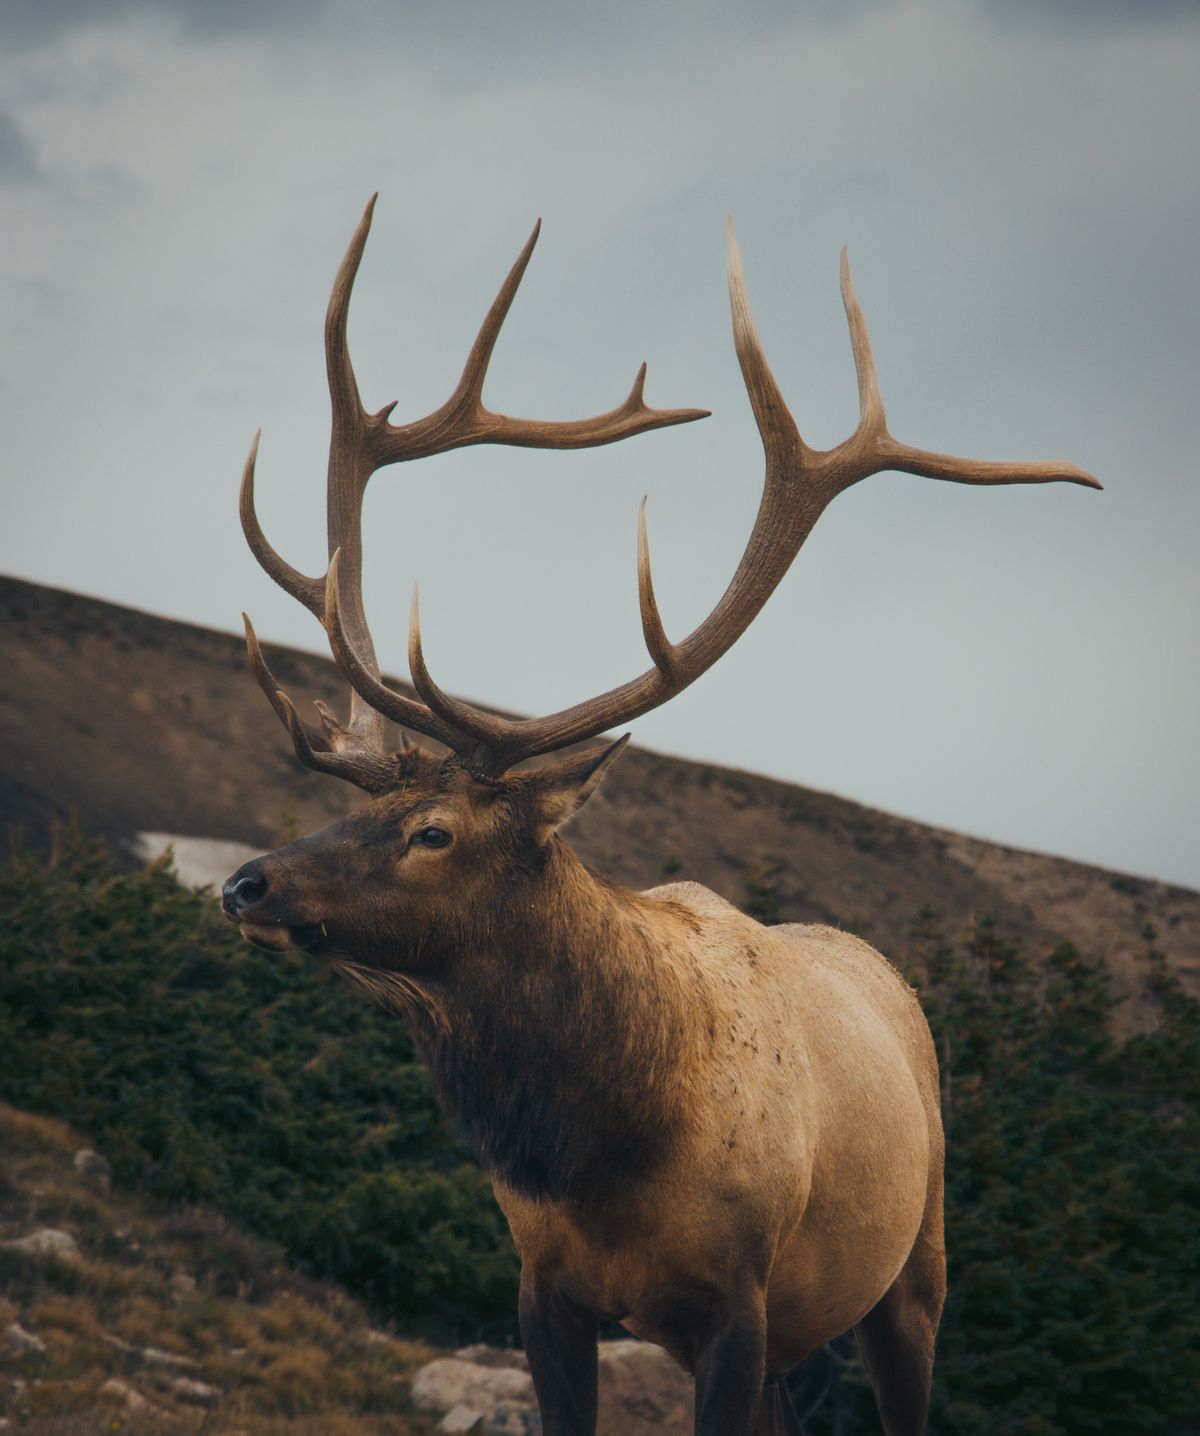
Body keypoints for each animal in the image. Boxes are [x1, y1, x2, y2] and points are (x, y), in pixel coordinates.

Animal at [222, 196, 1098, 1436]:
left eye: (437, 831)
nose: (245, 881)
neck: (608, 1150)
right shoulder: (545, 1286)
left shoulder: (740, 1298)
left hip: (912, 1273)